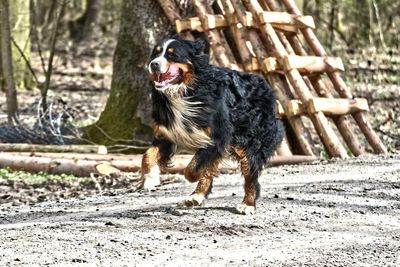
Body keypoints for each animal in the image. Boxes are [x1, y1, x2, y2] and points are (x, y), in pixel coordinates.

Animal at [141, 36, 284, 216]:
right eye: (156, 53)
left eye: (172, 55)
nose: (153, 64)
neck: (185, 91)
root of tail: (265, 84)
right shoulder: (167, 134)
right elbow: (148, 155)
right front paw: (150, 179)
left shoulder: (218, 137)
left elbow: (193, 168)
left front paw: (191, 177)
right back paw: (197, 196)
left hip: (251, 140)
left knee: (251, 173)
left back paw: (248, 204)